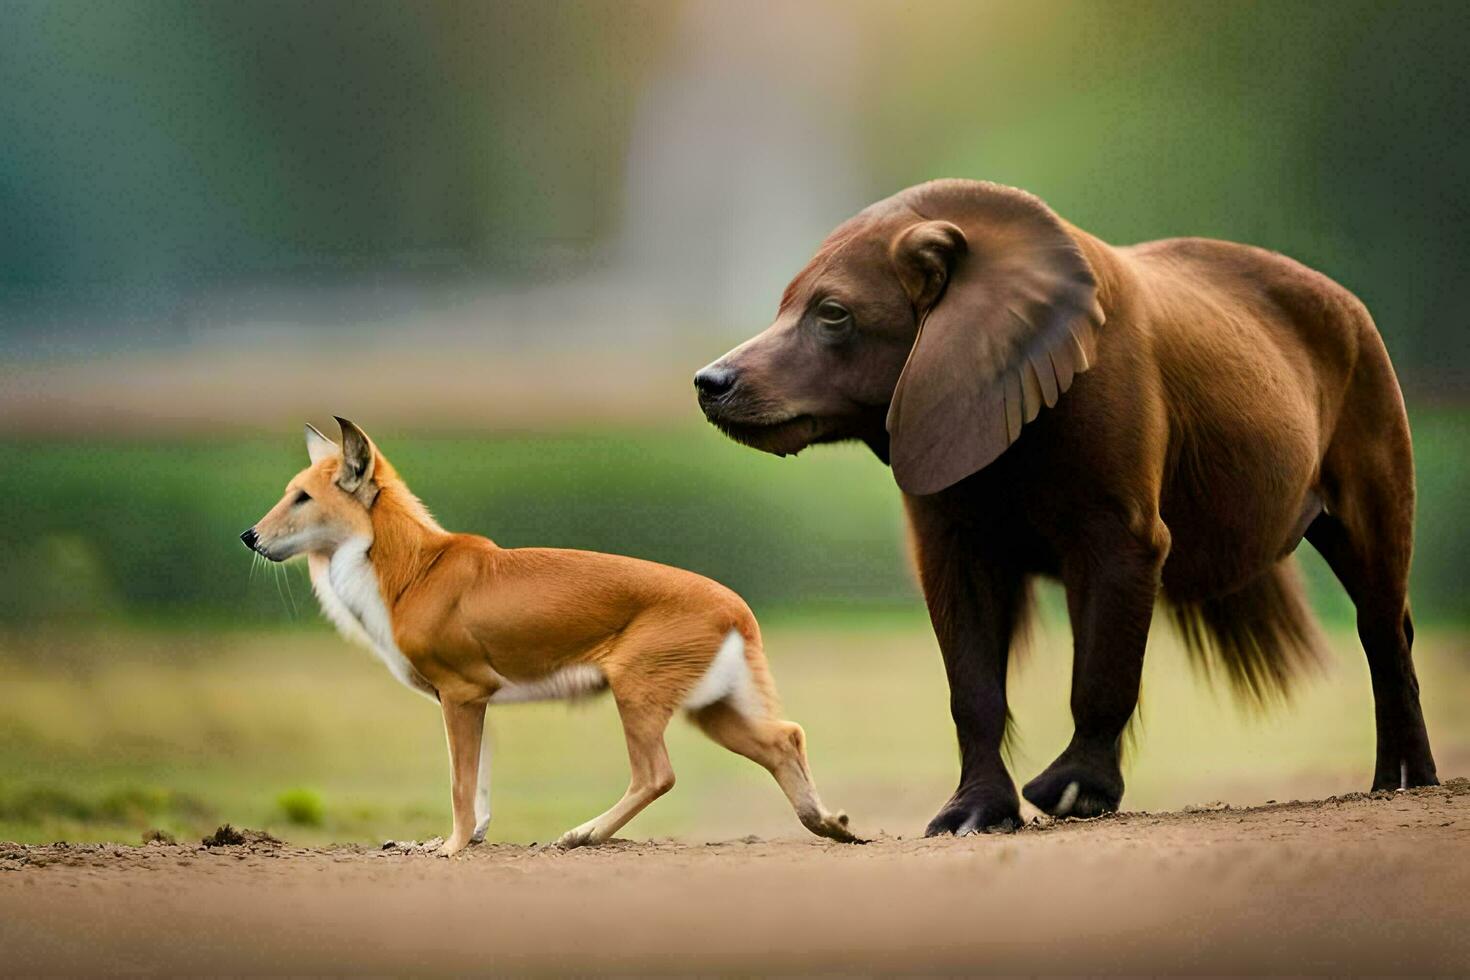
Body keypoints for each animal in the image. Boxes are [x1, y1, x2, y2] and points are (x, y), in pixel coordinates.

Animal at [242, 417, 858, 852]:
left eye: (303, 497)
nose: (250, 536)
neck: (412, 570)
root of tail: (737, 607)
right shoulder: (470, 701)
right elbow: (479, 784)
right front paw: (464, 841)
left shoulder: (461, 695)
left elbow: (460, 784)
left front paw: (449, 849)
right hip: (711, 710)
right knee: (785, 739)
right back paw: (831, 826)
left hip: (637, 696)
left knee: (657, 775)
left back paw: (583, 835)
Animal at [696, 178, 1434, 834]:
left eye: (833, 314)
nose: (707, 383)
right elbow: (964, 616)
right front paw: (969, 821)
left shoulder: (1115, 400)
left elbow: (1125, 560)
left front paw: (1071, 797)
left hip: (1374, 400)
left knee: (1377, 599)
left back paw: (1402, 786)